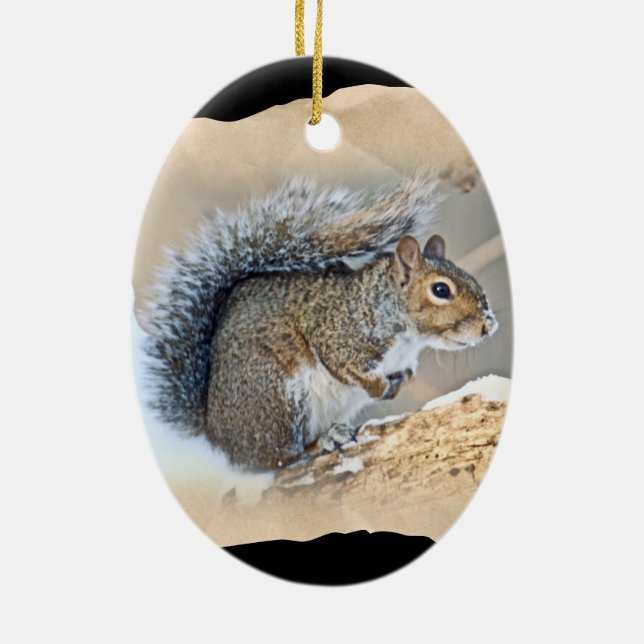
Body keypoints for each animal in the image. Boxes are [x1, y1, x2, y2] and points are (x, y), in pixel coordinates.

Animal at [142, 174, 498, 470]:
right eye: (441, 290)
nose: (489, 325)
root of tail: (218, 440)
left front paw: (401, 381)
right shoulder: (336, 332)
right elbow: (344, 364)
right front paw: (379, 386)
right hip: (278, 396)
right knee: (276, 458)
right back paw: (320, 443)